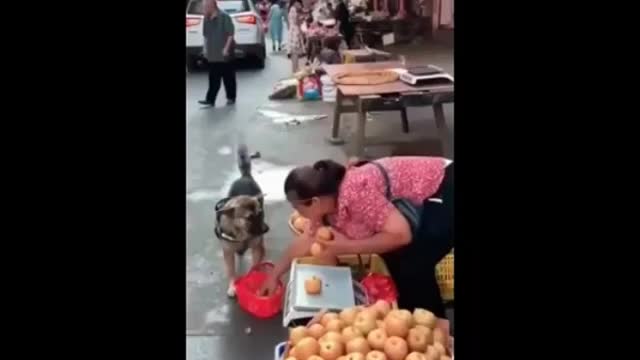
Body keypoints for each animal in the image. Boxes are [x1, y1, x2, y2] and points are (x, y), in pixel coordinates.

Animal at [212, 145, 268, 296]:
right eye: (249, 217)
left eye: (260, 213)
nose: (265, 229)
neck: (242, 234)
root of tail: (245, 176)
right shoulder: (228, 253)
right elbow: (231, 271)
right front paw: (232, 286)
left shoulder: (256, 248)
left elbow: (255, 266)